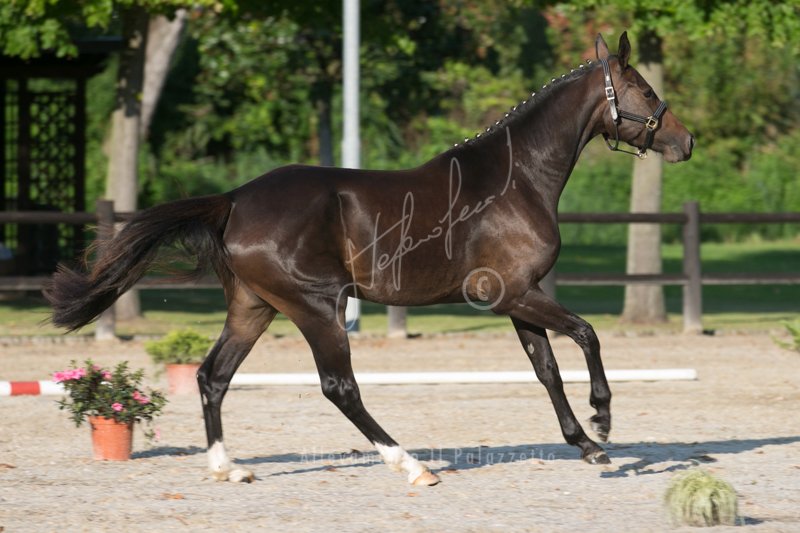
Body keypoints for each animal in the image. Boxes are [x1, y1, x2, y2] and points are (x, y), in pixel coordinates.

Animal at [45, 32, 694, 486]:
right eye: (644, 91)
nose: (685, 142)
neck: (516, 179)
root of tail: (235, 199)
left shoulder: (517, 299)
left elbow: (547, 370)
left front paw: (585, 444)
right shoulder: (512, 293)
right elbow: (585, 335)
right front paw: (603, 419)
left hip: (254, 308)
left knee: (213, 376)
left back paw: (228, 468)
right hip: (317, 307)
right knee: (340, 387)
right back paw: (412, 465)